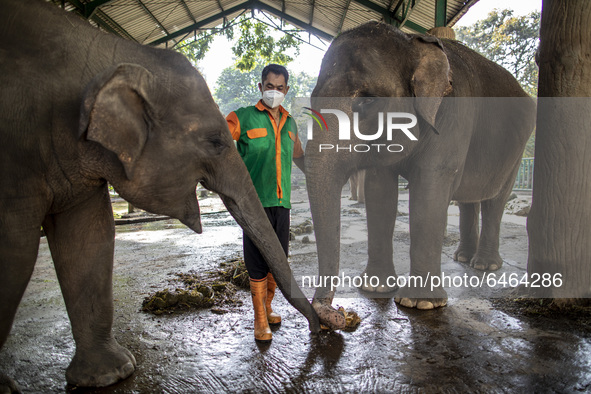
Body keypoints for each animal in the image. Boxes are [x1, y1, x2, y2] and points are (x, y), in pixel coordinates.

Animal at [0, 0, 320, 390]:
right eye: (216, 142)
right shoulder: (13, 152)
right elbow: (15, 250)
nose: (320, 330)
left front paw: (111, 375)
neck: (114, 49)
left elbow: (90, 238)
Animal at [308, 22, 540, 330]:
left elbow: (429, 191)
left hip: (515, 151)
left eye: (368, 99)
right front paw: (375, 288)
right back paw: (463, 257)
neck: (410, 41)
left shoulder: (453, 115)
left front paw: (420, 304)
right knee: (468, 198)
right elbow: (379, 191)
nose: (335, 314)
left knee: (495, 200)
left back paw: (484, 265)